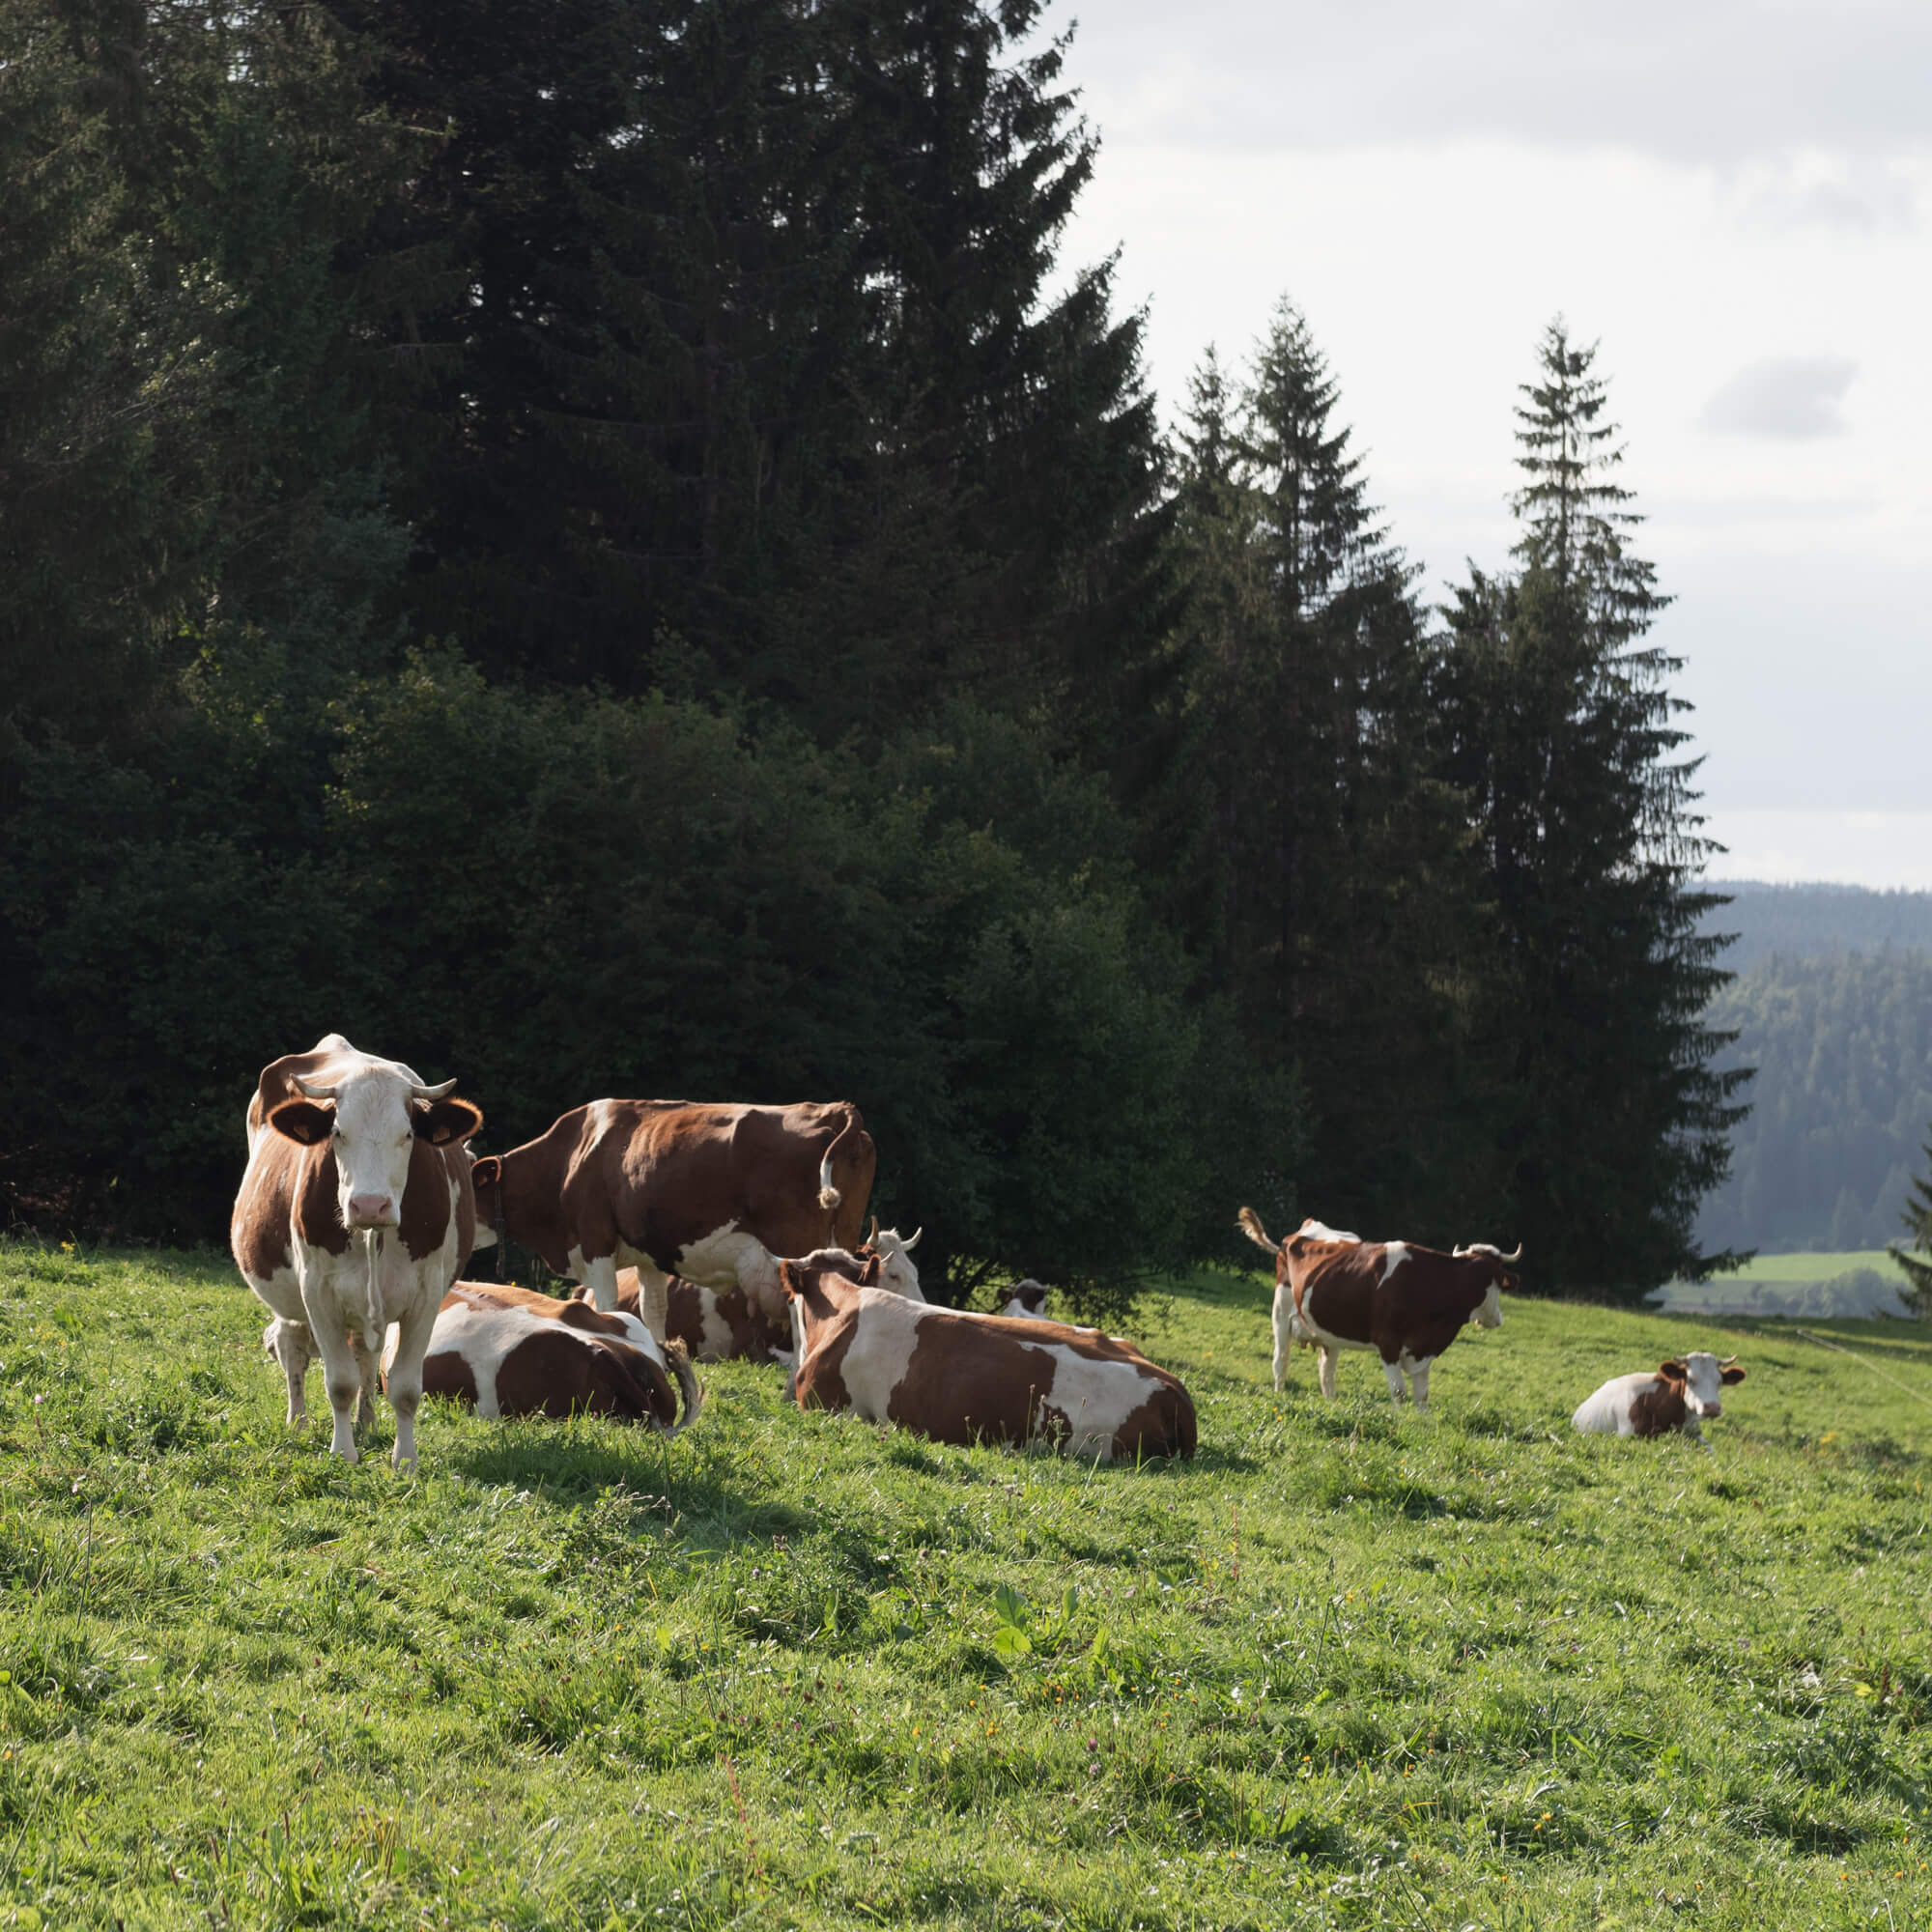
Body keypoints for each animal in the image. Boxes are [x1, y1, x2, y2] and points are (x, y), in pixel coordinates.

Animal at [229, 1043, 483, 1461]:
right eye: (337, 1132)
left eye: (408, 1134)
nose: (368, 1205)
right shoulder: (316, 1291)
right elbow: (340, 1383)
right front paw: (343, 1454)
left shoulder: (426, 1295)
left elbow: (404, 1387)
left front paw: (405, 1459)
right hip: (288, 1296)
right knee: (291, 1347)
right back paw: (298, 1423)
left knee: (365, 1355)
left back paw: (367, 1423)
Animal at [471, 1097, 885, 1337]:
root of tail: (834, 1108)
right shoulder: (648, 1256)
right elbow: (652, 1312)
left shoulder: (595, 1243)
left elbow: (607, 1307)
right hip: (844, 1239)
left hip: (797, 1248)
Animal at [1229, 1206, 1515, 1406]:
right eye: (1498, 1284)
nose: (1498, 1319)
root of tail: (1291, 1237)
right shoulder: (1387, 1341)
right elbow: (1399, 1391)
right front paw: (1400, 1422)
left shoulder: (1424, 1347)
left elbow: (1421, 1394)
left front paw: (1422, 1424)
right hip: (1280, 1311)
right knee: (1281, 1360)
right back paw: (1280, 1396)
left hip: (1329, 1332)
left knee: (1326, 1372)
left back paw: (1331, 1406)